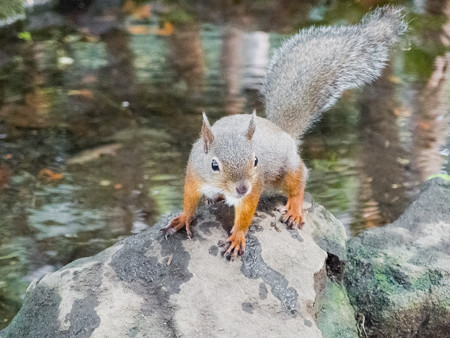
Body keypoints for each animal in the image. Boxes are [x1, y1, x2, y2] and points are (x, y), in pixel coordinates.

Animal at [163, 6, 408, 260]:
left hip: (287, 170)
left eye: (256, 161)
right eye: (214, 165)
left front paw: (238, 237)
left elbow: (246, 213)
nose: (242, 188)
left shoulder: (255, 186)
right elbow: (189, 200)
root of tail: (284, 133)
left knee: (299, 181)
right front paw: (182, 218)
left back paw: (294, 209)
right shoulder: (194, 175)